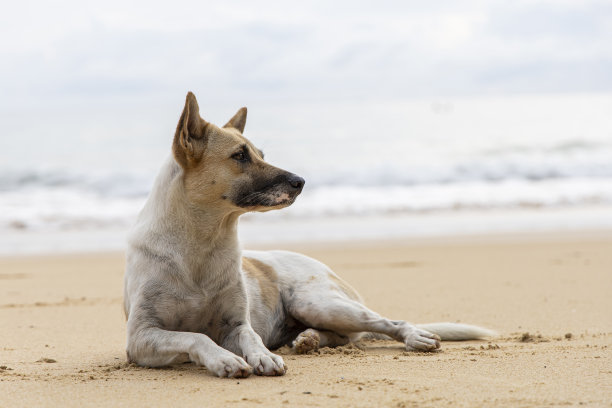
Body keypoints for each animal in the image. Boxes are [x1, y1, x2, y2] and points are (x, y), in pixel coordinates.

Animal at [122, 92, 494, 380]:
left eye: (261, 154)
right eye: (239, 155)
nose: (300, 182)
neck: (202, 245)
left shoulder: (237, 325)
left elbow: (251, 339)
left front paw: (263, 356)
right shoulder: (141, 338)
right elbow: (194, 337)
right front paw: (225, 359)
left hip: (318, 302)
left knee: (384, 322)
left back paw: (411, 336)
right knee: (344, 337)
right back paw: (308, 339)